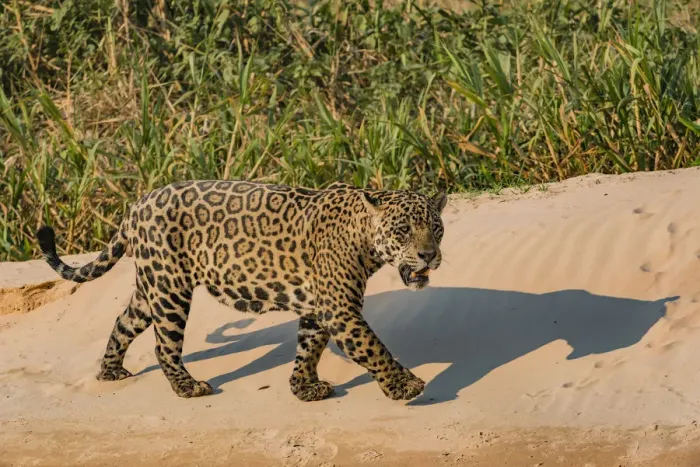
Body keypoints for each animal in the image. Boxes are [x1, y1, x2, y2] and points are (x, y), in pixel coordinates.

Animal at [36, 180, 447, 402]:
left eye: (436, 229)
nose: (429, 255)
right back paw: (188, 387)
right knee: (163, 345)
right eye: (403, 231)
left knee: (124, 320)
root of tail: (136, 205)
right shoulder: (340, 309)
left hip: (151, 284)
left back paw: (110, 371)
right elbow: (373, 347)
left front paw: (303, 386)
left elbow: (309, 345)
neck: (363, 236)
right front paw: (404, 385)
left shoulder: (318, 306)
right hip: (170, 288)